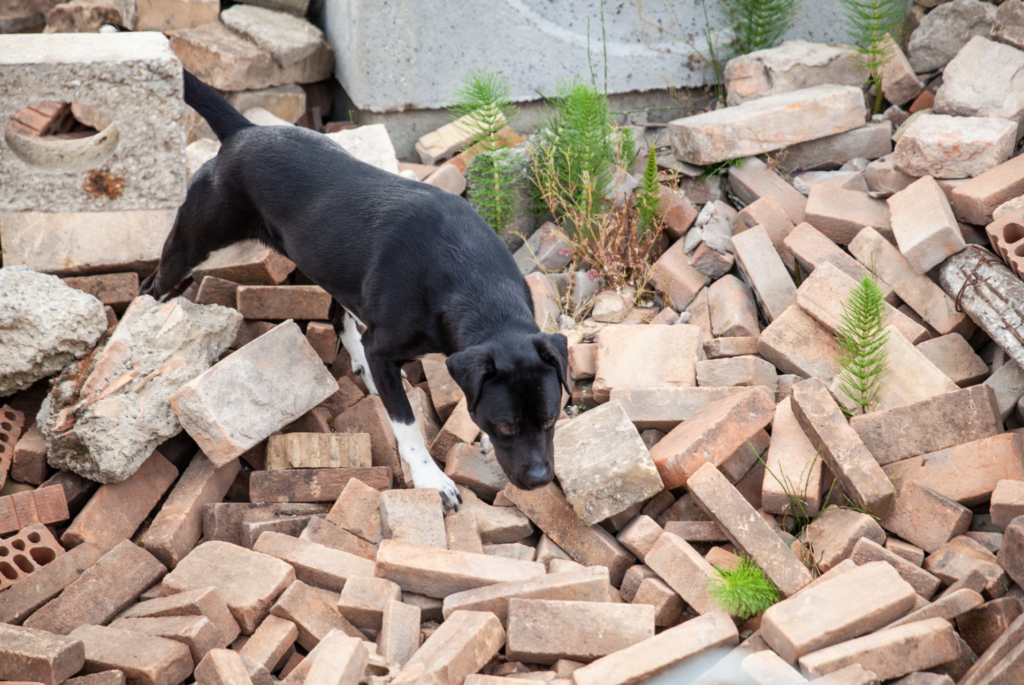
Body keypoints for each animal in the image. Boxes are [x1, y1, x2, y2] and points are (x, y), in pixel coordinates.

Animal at [139, 68, 569, 507]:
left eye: (551, 419)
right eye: (506, 426)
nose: (539, 480)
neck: (478, 285)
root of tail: (244, 131)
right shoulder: (386, 348)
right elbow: (408, 424)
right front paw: (432, 479)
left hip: (335, 265)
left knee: (337, 316)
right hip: (195, 241)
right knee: (153, 283)